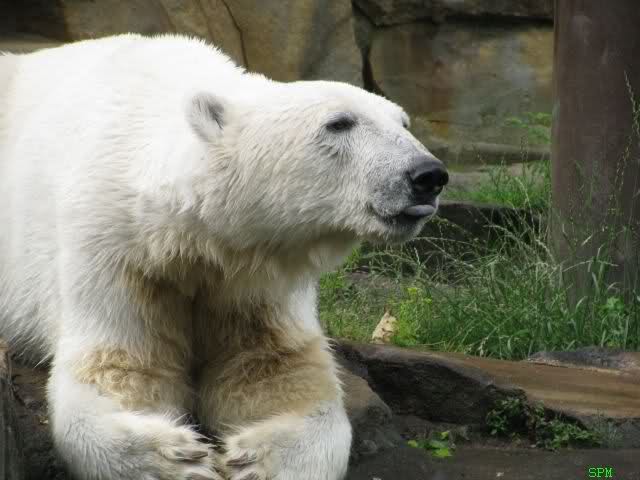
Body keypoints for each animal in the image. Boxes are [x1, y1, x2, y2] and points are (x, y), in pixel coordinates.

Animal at [0, 34, 448, 480]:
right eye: (339, 123)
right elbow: (118, 366)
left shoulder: (255, 279)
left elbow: (275, 371)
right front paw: (178, 459)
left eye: (403, 123)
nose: (428, 175)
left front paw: (255, 459)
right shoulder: (115, 248)